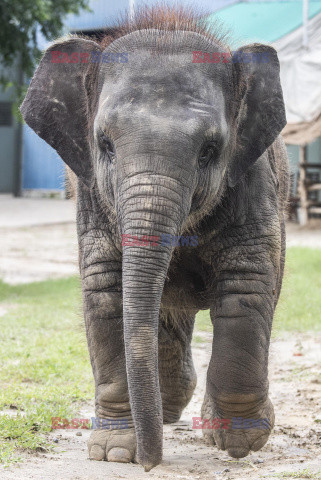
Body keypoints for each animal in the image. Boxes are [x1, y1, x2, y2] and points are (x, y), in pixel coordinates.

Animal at [21, 5, 288, 470]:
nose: (151, 463)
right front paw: (114, 452)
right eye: (105, 144)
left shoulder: (254, 179)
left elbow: (247, 285)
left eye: (210, 150)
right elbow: (106, 291)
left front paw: (239, 443)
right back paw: (165, 411)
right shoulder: (92, 194)